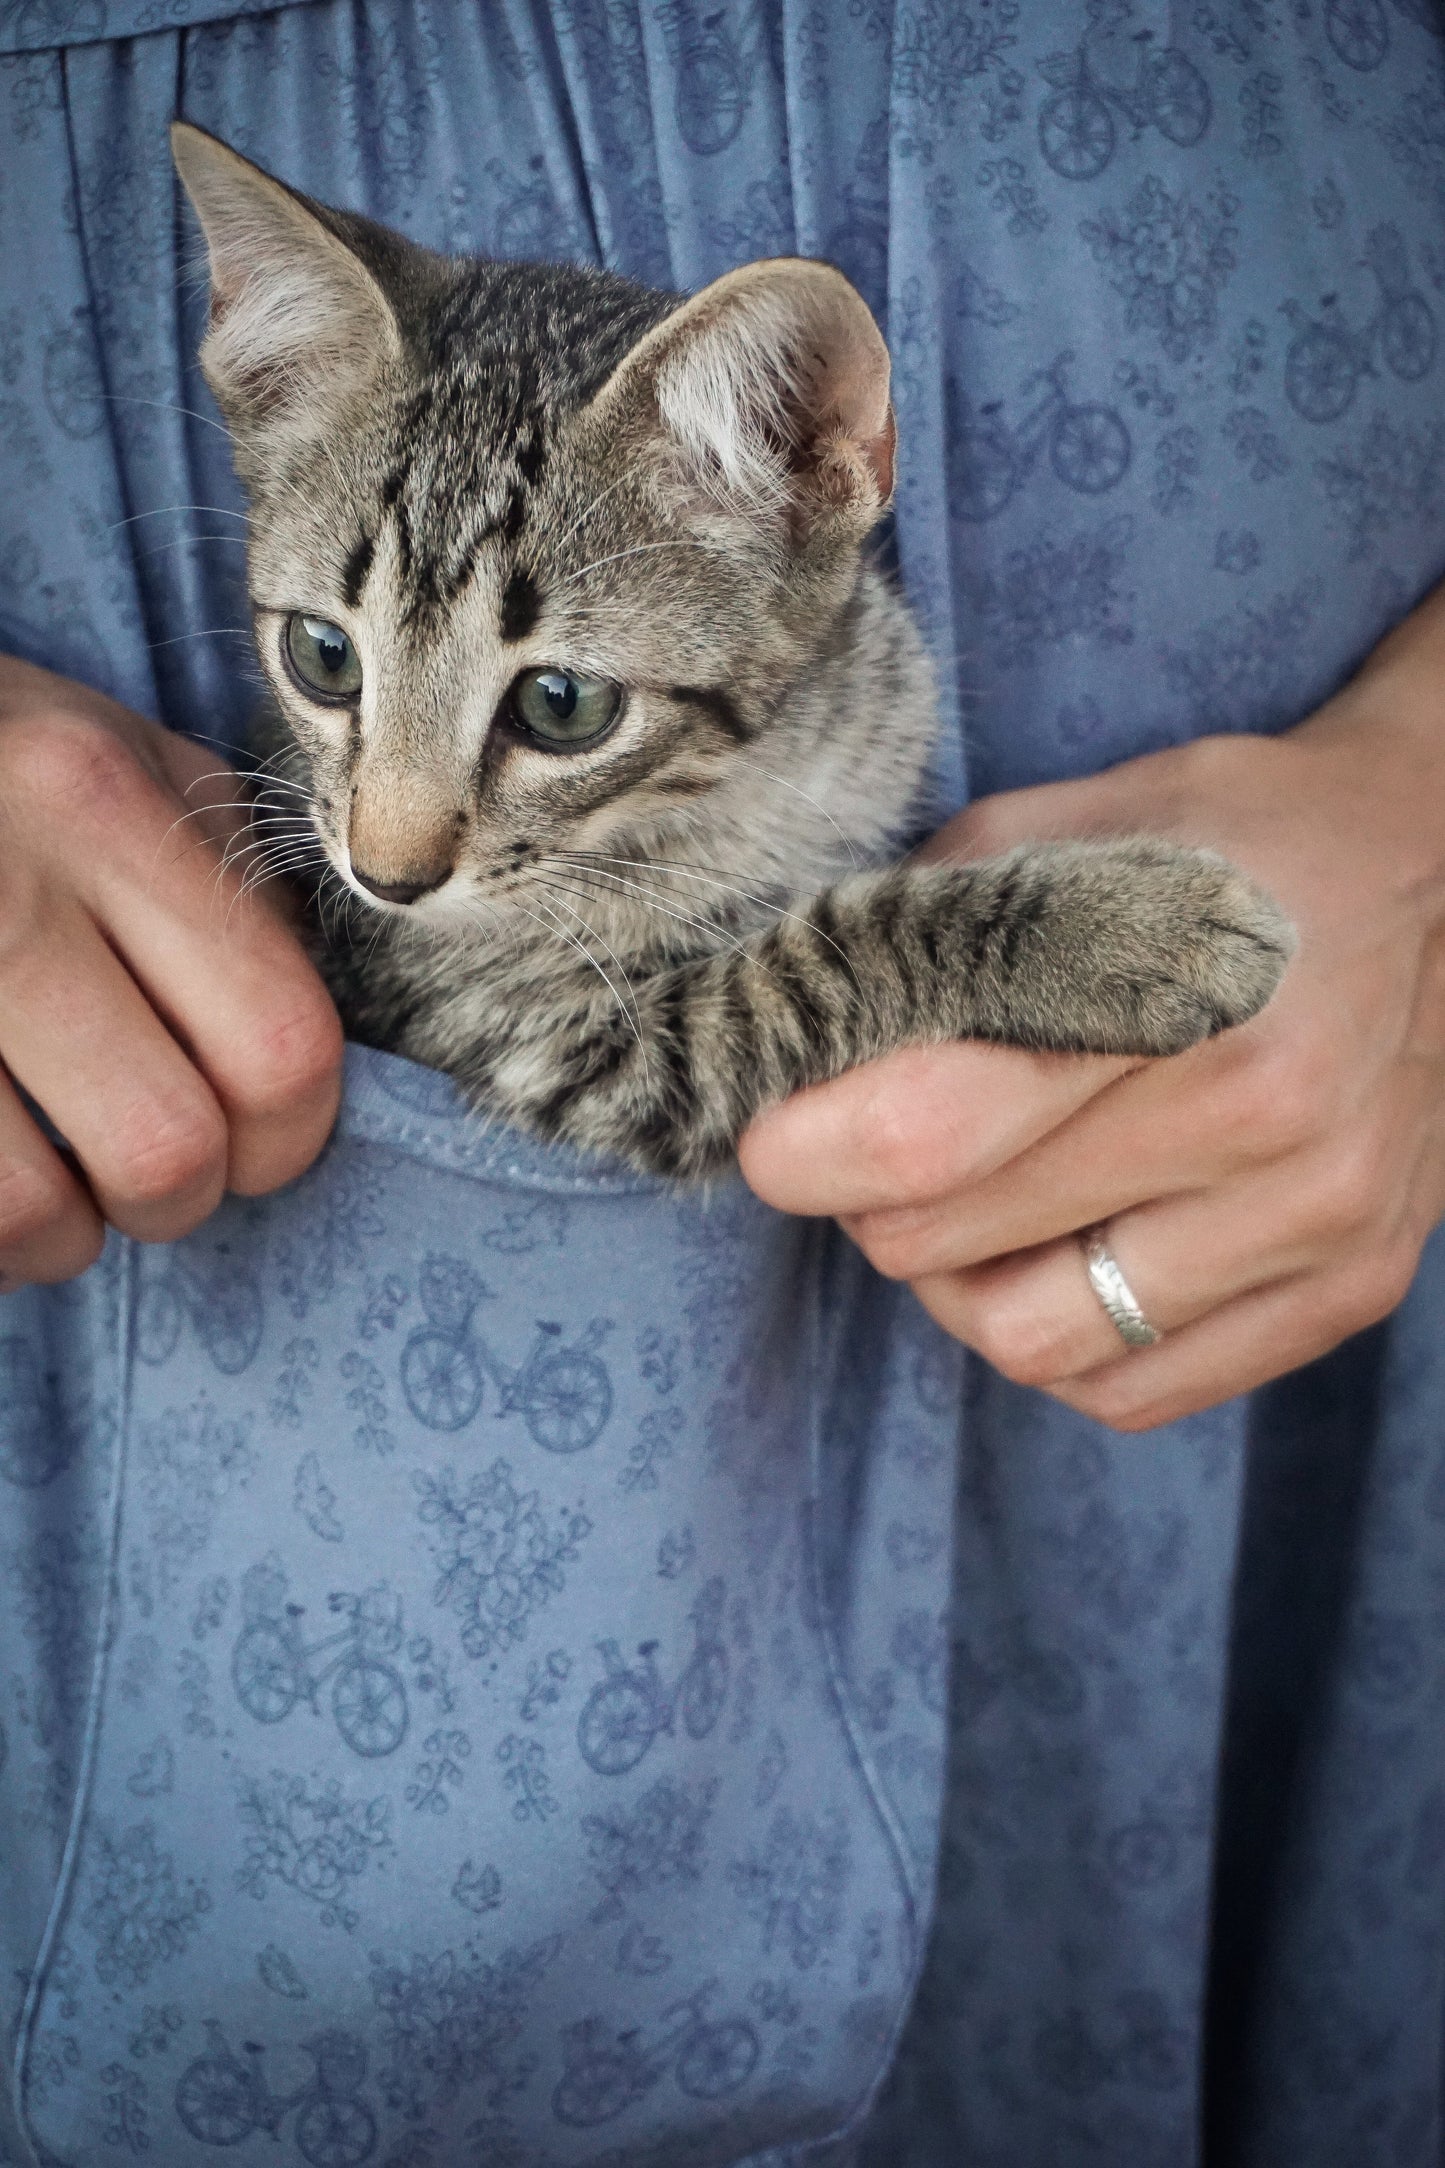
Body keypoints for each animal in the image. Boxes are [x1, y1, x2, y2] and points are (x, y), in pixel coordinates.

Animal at [172, 131, 1299, 1188]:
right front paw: (1116, 927)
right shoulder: (554, 1041)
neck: (736, 790)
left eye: (560, 703)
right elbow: (820, 953)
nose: (385, 879)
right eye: (323, 655)